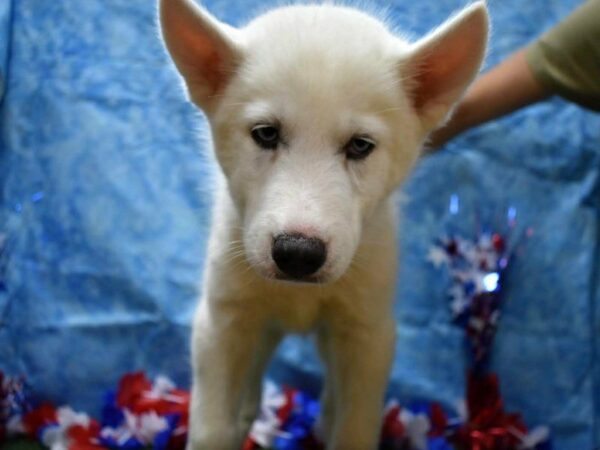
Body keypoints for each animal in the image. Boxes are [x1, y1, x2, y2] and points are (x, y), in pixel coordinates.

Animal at [159, 1, 488, 448]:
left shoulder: (369, 334)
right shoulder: (222, 319)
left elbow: (354, 428)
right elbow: (212, 428)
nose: (298, 254)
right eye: (266, 134)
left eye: (360, 146)